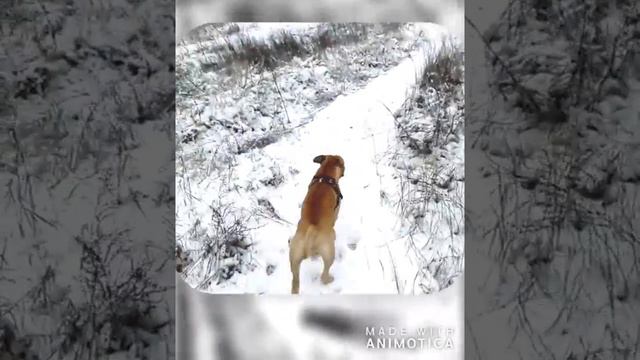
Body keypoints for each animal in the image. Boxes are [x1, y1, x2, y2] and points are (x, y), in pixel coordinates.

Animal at [290, 154, 344, 292]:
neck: (325, 175)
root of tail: (311, 229)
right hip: (329, 253)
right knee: (324, 275)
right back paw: (329, 279)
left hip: (294, 259)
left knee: (295, 281)